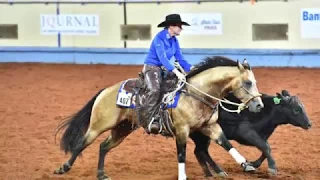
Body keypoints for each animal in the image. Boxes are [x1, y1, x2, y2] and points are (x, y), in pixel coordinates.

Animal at [52, 56, 264, 180]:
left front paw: (246, 165)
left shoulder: (210, 127)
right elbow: (181, 155)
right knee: (81, 143)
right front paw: (182, 177)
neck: (196, 94)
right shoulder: (182, 131)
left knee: (103, 146)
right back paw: (63, 168)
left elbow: (226, 143)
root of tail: (106, 91)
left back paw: (101, 174)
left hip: (122, 129)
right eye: (247, 82)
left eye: (254, 81)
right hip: (98, 125)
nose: (259, 105)